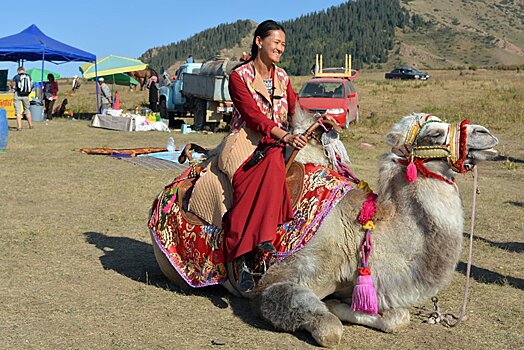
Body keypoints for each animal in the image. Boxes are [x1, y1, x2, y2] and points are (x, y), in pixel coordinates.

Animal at [148, 111, 500, 348]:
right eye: (434, 134)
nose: (487, 135)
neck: (357, 233)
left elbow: (398, 318)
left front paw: (338, 304)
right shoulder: (278, 282)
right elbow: (330, 330)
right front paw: (332, 310)